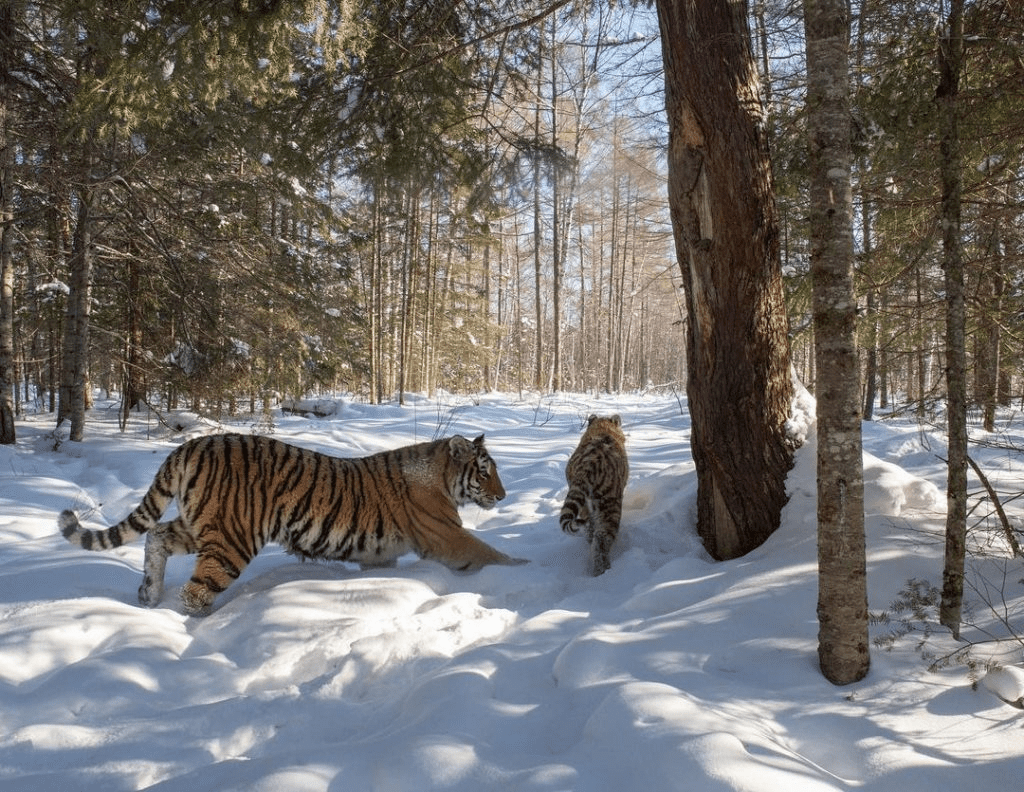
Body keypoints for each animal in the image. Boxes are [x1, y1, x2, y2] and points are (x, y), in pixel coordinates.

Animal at [58, 432, 524, 610]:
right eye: (485, 472)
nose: (503, 496)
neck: (443, 479)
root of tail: (191, 444)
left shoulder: (379, 554)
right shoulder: (448, 538)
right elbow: (494, 555)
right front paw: (529, 571)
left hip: (200, 526)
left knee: (155, 536)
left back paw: (149, 596)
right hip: (232, 540)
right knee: (194, 591)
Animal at [561, 413, 622, 573]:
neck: (602, 428)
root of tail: (587, 466)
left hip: (583, 504)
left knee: (589, 529)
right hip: (609, 506)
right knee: (601, 539)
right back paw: (603, 570)